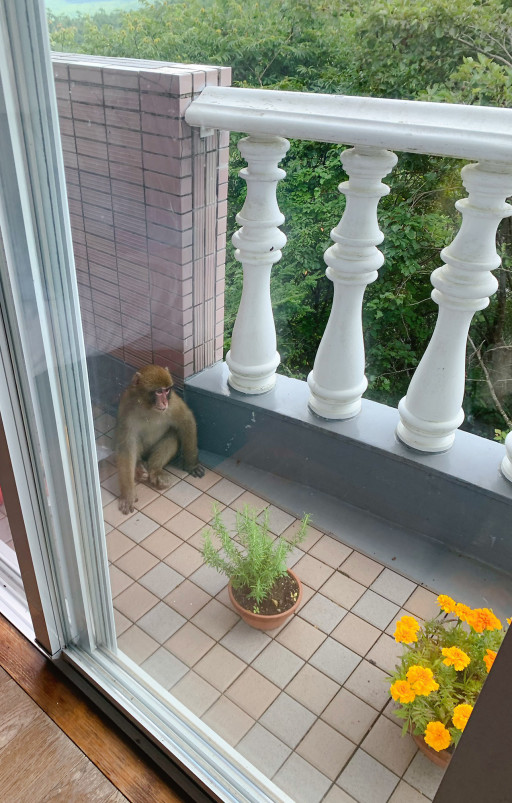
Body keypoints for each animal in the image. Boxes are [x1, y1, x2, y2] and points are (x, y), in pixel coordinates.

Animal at [116, 366, 204, 516]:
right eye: (158, 391)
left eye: (167, 390)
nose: (164, 402)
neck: (148, 407)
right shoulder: (126, 408)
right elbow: (127, 445)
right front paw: (128, 494)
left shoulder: (173, 403)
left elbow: (186, 421)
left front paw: (192, 465)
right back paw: (139, 468)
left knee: (173, 435)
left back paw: (155, 470)